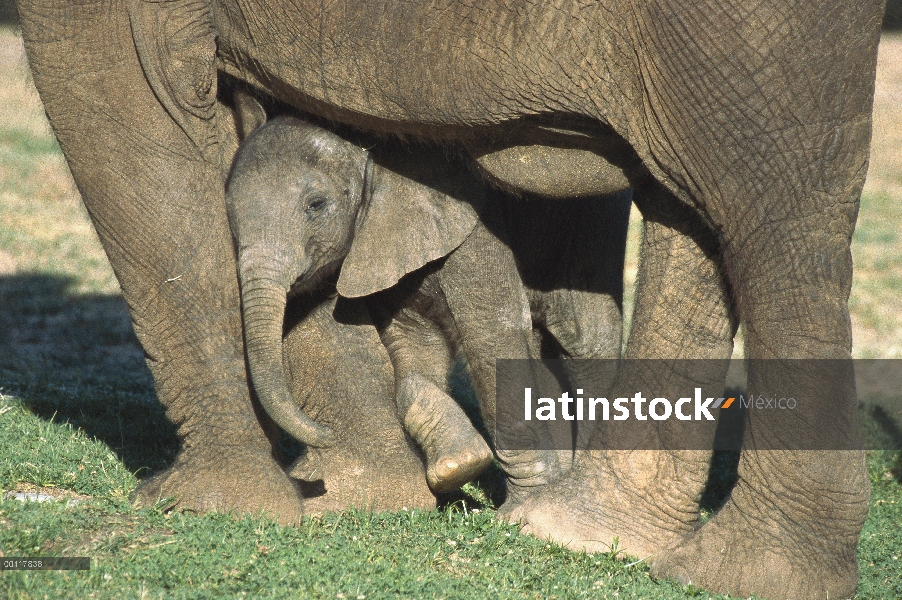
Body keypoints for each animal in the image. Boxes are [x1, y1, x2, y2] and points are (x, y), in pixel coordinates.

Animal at [17, 2, 888, 596]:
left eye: (318, 206)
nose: (306, 448)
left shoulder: (453, 225)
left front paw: (215, 507)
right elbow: (409, 355)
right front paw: (412, 482)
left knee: (769, 213)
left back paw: (728, 570)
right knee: (691, 205)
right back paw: (591, 530)